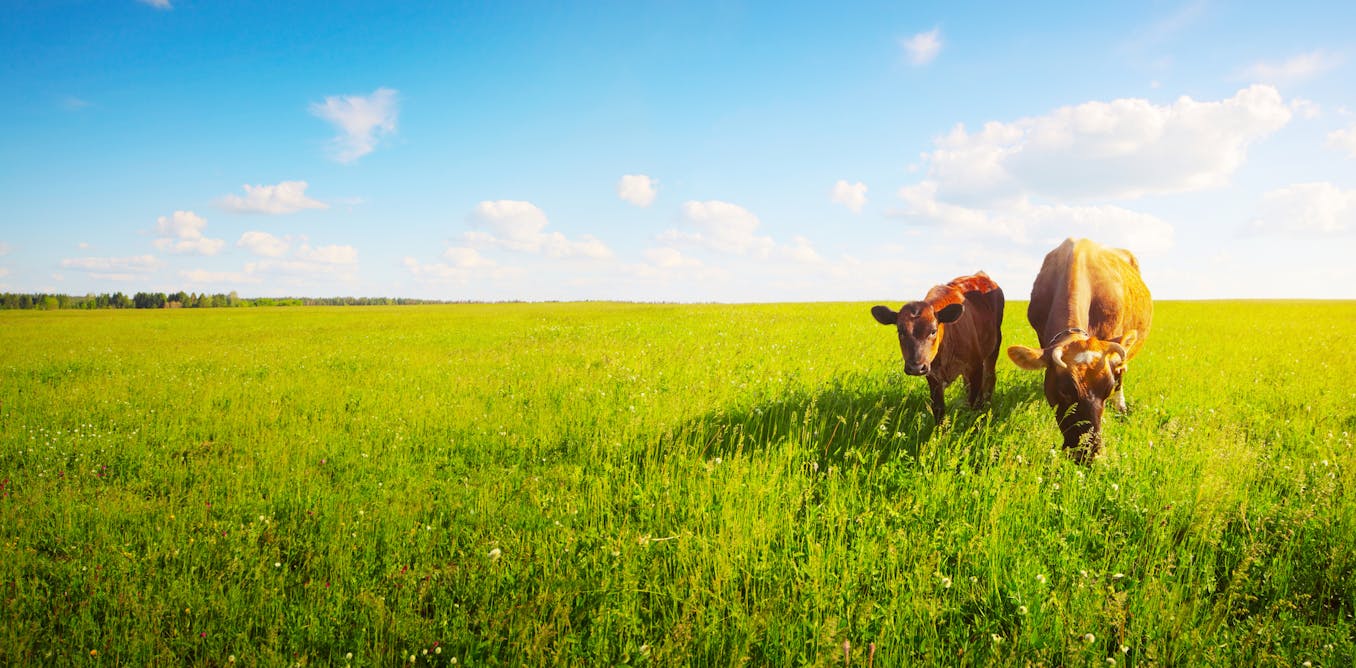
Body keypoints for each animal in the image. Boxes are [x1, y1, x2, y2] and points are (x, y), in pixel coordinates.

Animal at [867, 272, 1008, 422]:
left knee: (990, 379)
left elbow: (973, 404)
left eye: (933, 331)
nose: (916, 367)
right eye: (900, 331)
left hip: (993, 349)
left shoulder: (975, 367)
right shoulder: (932, 375)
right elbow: (939, 409)